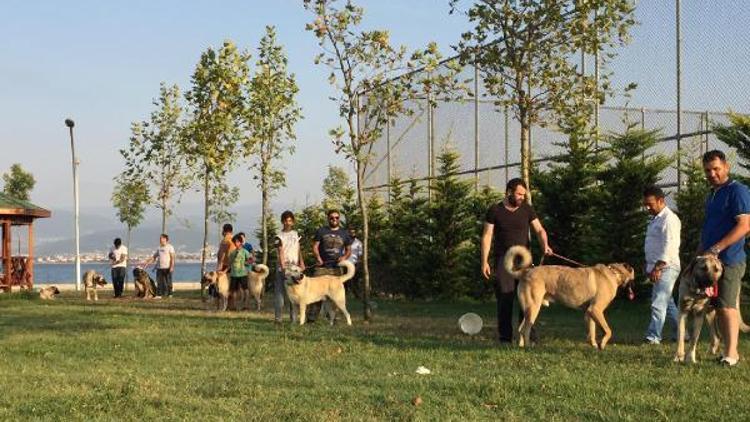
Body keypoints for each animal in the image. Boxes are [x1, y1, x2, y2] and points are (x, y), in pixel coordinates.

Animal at [508, 244, 636, 350]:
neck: (615, 273)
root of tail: (526, 272)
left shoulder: (590, 312)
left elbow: (592, 331)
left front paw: (594, 345)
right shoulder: (596, 309)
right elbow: (608, 330)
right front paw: (602, 344)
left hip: (529, 310)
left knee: (520, 329)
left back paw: (521, 346)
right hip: (533, 308)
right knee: (526, 330)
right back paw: (528, 347)